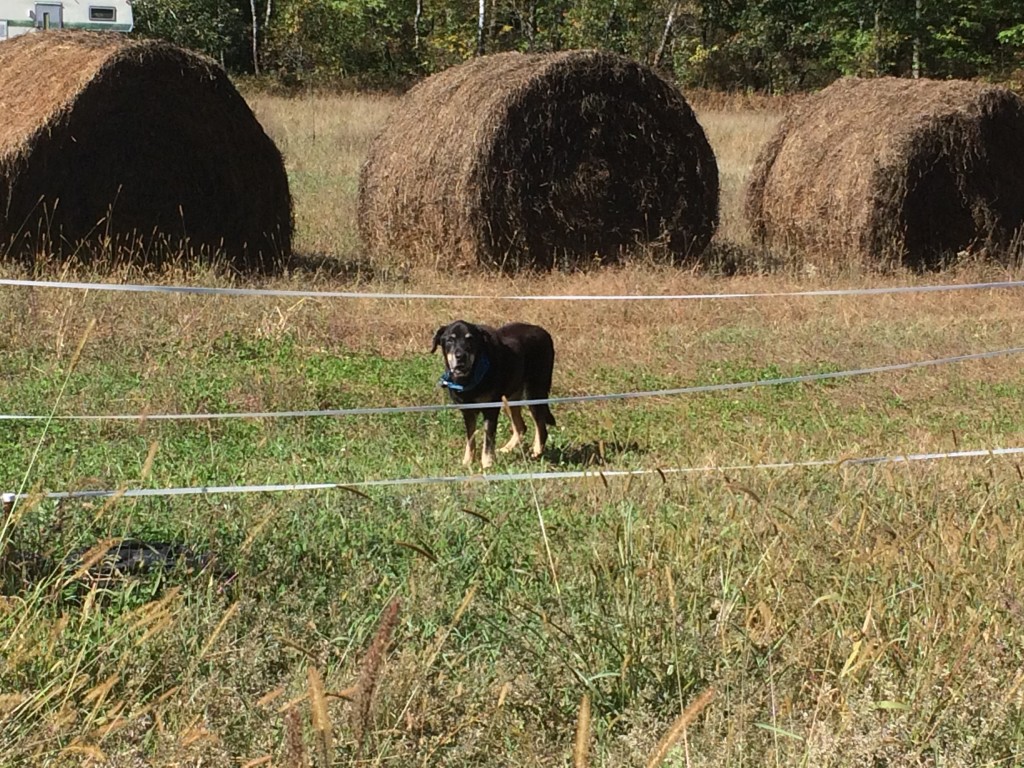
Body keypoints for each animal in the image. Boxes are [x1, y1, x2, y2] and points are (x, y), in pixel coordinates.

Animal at [434, 319, 561, 468]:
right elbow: (470, 438)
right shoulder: (468, 411)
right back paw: (506, 449)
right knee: (521, 427)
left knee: (541, 427)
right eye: (450, 340)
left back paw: (536, 453)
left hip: (534, 393)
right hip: (509, 399)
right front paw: (467, 462)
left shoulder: (490, 409)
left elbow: (488, 439)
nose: (460, 356)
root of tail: (544, 332)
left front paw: (487, 463)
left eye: (470, 339)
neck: (471, 376)